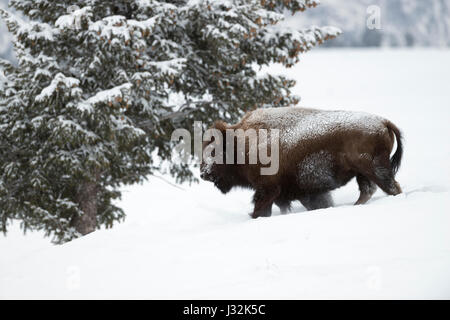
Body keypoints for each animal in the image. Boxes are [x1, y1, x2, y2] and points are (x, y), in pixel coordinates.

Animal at [199, 107, 402, 218]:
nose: (203, 173)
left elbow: (259, 209)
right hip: (363, 173)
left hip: (375, 170)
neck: (241, 144)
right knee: (368, 190)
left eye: (215, 151)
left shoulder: (268, 190)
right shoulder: (298, 193)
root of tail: (383, 122)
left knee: (391, 187)